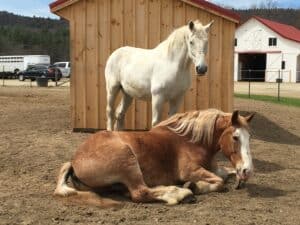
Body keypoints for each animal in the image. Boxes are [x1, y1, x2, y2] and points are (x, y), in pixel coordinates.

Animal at [54, 109, 253, 206]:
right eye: (235, 137)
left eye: (249, 137)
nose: (247, 171)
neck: (191, 140)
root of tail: (74, 161)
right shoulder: (190, 171)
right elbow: (220, 182)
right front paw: (194, 186)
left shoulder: (213, 167)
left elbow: (226, 173)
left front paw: (238, 179)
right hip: (127, 160)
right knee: (139, 192)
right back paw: (181, 194)